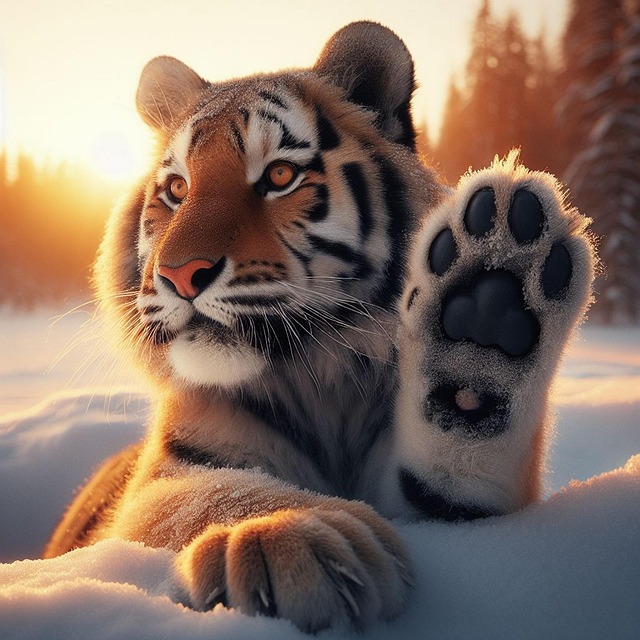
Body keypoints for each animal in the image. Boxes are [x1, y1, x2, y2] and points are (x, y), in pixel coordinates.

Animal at [45, 21, 594, 633]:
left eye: (280, 176)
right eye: (177, 189)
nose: (179, 274)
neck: (322, 384)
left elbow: (453, 479)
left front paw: (483, 328)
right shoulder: (163, 480)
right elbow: (210, 494)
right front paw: (289, 539)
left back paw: (492, 290)